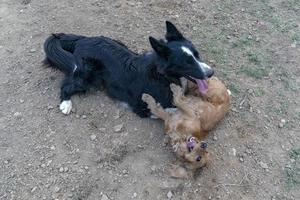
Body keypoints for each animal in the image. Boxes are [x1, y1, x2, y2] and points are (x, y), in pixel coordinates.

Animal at [44, 20, 213, 117]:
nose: (211, 73)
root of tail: (82, 40)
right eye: (187, 63)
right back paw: (65, 104)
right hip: (85, 77)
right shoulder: (145, 105)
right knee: (66, 85)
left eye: (197, 54)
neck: (161, 75)